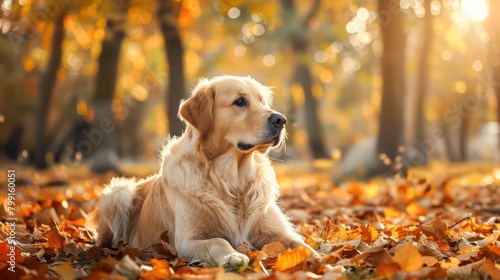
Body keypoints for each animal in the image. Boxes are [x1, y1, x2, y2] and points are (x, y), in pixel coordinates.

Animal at [93, 76, 312, 266]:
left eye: (263, 102)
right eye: (240, 101)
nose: (281, 120)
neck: (233, 180)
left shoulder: (277, 231)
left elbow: (302, 245)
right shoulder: (186, 240)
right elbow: (218, 241)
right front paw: (232, 256)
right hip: (118, 192)